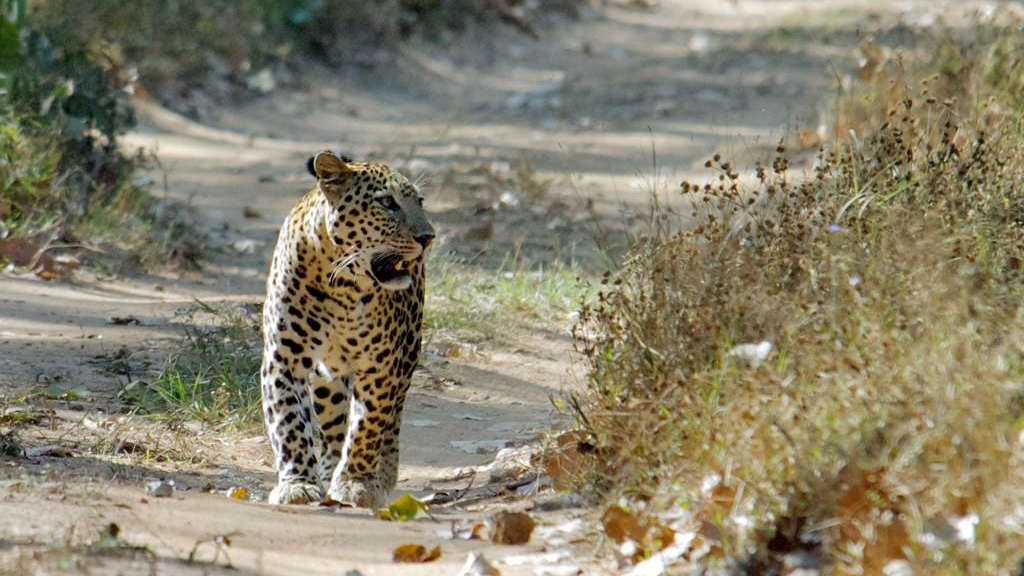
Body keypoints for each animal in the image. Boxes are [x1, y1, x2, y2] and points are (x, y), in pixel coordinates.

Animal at [260, 150, 432, 504]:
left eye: (419, 201)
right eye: (387, 202)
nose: (428, 237)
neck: (343, 285)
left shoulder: (382, 366)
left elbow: (368, 426)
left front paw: (357, 482)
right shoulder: (284, 359)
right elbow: (289, 420)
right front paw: (298, 483)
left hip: (409, 349)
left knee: (393, 416)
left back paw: (383, 472)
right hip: (328, 380)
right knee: (331, 426)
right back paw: (327, 470)